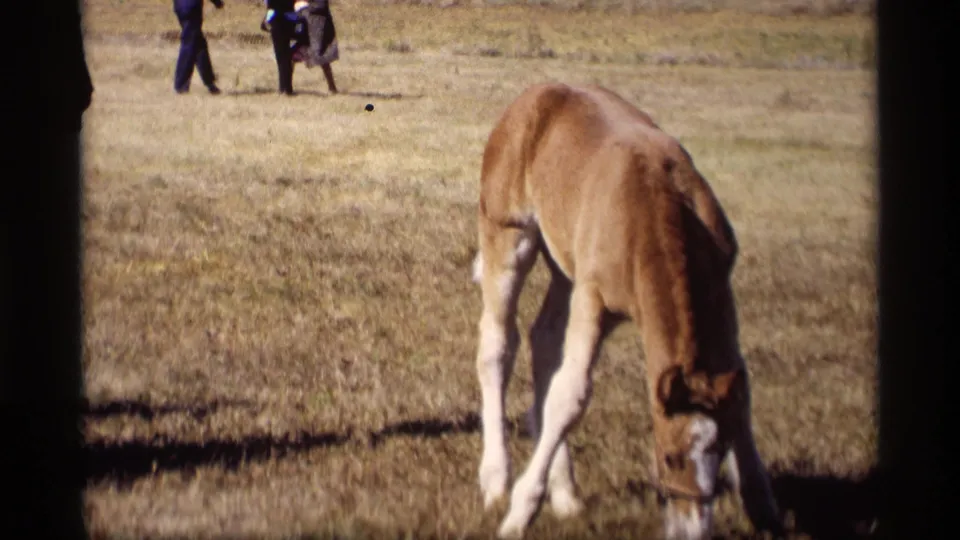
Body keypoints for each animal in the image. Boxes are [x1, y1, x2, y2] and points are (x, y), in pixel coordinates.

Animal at [471, 82, 783, 539]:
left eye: (722, 448)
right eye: (668, 457)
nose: (690, 531)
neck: (654, 206)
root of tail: (534, 95)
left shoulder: (720, 294)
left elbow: (740, 392)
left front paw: (763, 505)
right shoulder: (594, 299)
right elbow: (570, 395)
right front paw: (519, 512)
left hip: (565, 268)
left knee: (543, 340)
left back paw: (566, 495)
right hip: (510, 235)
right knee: (498, 346)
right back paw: (496, 480)